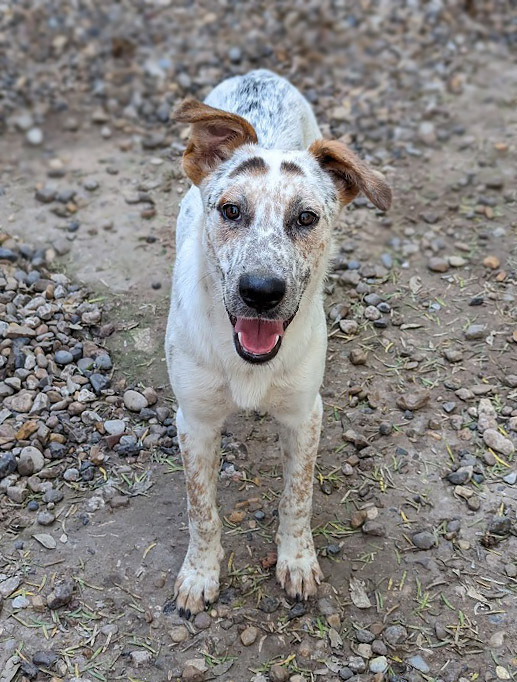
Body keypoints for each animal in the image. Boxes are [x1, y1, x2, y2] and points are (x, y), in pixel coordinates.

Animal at [166, 70, 392, 616]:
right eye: (231, 210)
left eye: (306, 218)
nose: (262, 291)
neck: (248, 361)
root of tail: (260, 74)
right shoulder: (195, 421)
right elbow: (201, 508)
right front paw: (200, 575)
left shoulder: (304, 414)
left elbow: (297, 498)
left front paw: (297, 562)